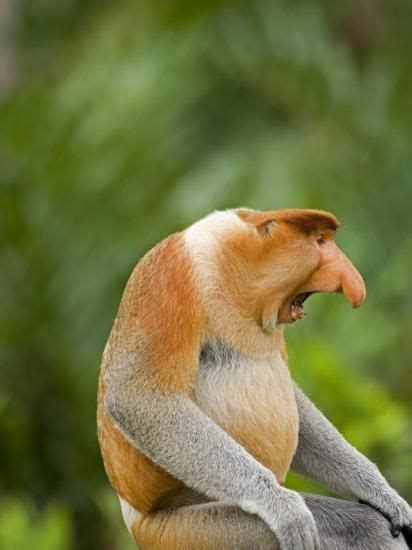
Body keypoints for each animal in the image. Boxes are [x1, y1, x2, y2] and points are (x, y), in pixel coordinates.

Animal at [97, 209, 412, 548]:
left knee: (366, 527)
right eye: (320, 242)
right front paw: (283, 507)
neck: (233, 265)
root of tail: (138, 522)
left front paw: (384, 495)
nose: (354, 285)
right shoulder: (169, 276)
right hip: (187, 531)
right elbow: (138, 398)